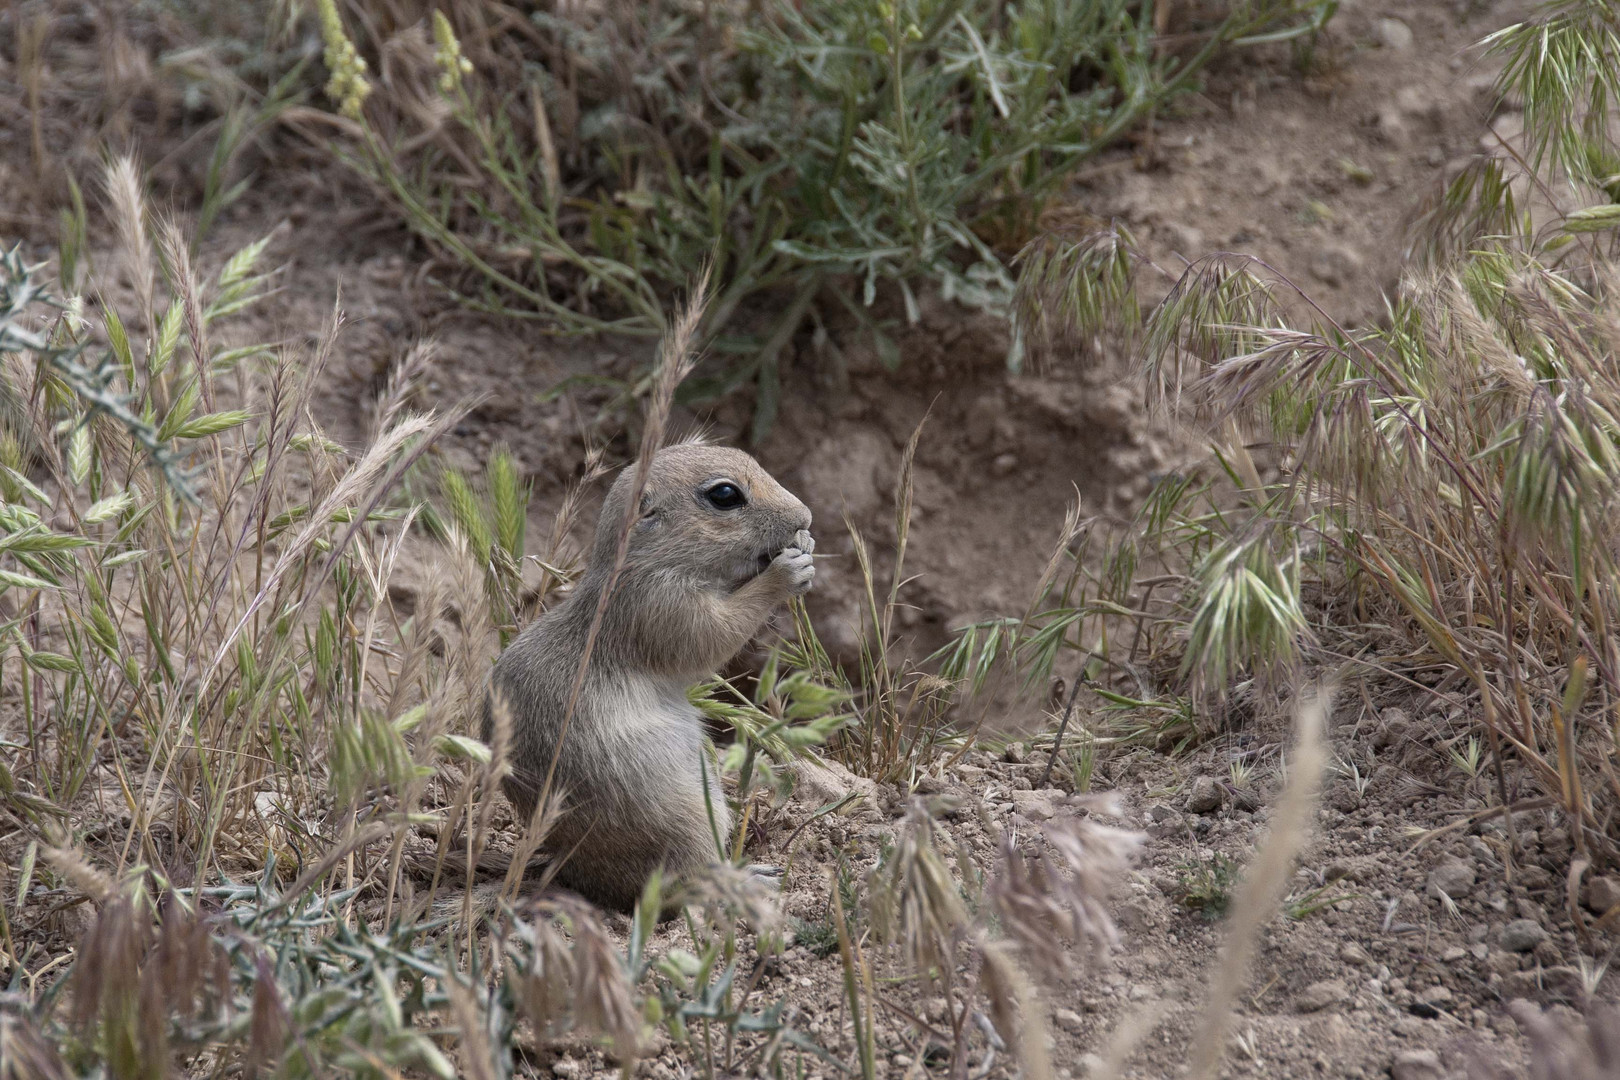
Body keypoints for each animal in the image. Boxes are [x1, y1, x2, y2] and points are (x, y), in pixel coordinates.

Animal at [479, 443, 810, 906]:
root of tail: (572, 872)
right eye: (725, 495)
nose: (806, 517)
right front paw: (788, 572)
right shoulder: (660, 603)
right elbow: (713, 635)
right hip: (689, 821)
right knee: (682, 886)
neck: (640, 560)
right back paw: (751, 878)